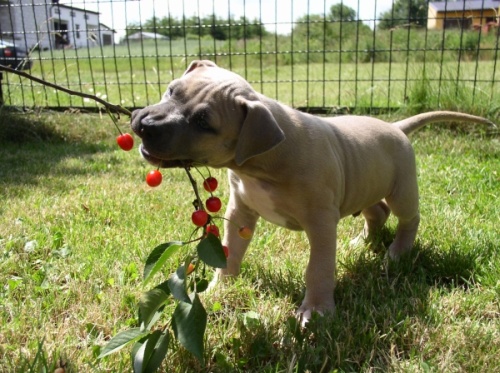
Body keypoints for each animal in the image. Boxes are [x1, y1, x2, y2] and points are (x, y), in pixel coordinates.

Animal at [131, 59, 494, 322]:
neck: (259, 162)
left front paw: (317, 310)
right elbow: (230, 250)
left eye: (204, 123)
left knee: (408, 218)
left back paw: (397, 252)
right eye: (170, 90)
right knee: (377, 212)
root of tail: (396, 126)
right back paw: (363, 243)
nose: (143, 124)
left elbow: (318, 267)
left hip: (401, 187)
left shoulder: (320, 221)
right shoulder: (240, 211)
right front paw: (223, 286)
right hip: (363, 183)